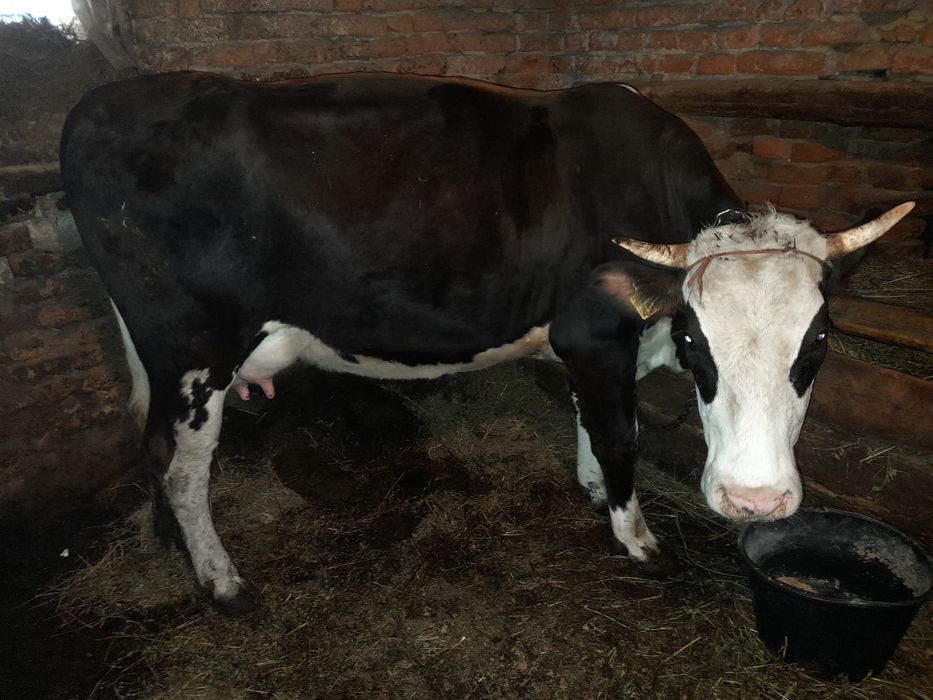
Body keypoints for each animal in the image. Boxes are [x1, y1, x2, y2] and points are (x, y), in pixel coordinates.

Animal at [60, 72, 912, 613]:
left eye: (818, 338)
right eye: (693, 336)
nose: (754, 501)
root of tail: (104, 101)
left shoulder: (592, 348)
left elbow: (589, 423)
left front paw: (595, 492)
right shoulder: (594, 331)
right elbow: (620, 435)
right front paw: (635, 538)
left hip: (156, 350)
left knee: (147, 438)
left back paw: (169, 547)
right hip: (193, 343)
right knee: (181, 463)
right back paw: (222, 581)